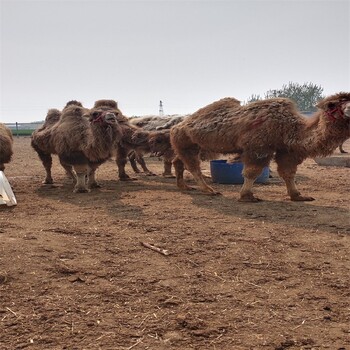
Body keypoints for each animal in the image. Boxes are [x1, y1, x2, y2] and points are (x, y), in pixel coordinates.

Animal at [170, 93, 350, 202]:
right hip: (185, 140)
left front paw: (298, 196)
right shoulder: (258, 147)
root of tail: (178, 125)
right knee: (193, 166)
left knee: (178, 161)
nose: (348, 110)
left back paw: (184, 186)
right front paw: (247, 196)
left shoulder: (287, 150)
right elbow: (252, 172)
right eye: (333, 104)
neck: (289, 127)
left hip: (194, 145)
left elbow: (288, 173)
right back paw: (209, 190)